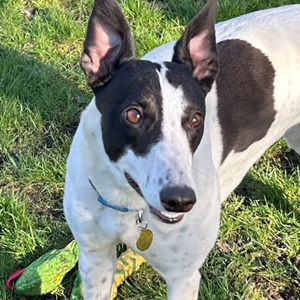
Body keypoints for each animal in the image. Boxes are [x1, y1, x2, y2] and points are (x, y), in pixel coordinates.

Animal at [63, 0, 300, 298]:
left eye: (196, 118)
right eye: (133, 115)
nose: (180, 200)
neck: (128, 206)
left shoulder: (183, 277)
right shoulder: (95, 258)